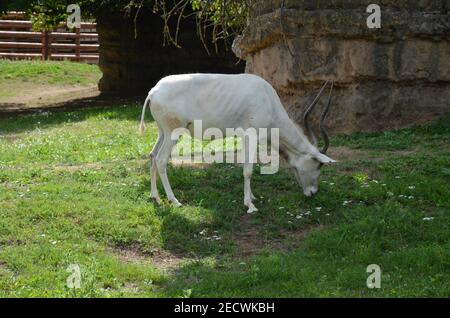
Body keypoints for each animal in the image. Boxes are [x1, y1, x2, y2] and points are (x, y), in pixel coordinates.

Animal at [139, 74, 336, 214]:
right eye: (318, 166)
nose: (313, 193)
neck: (268, 100)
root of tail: (153, 91)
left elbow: (246, 167)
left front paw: (252, 197)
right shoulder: (251, 135)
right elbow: (248, 170)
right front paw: (250, 206)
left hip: (162, 132)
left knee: (152, 155)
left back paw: (155, 197)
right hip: (173, 133)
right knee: (161, 160)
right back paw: (174, 200)